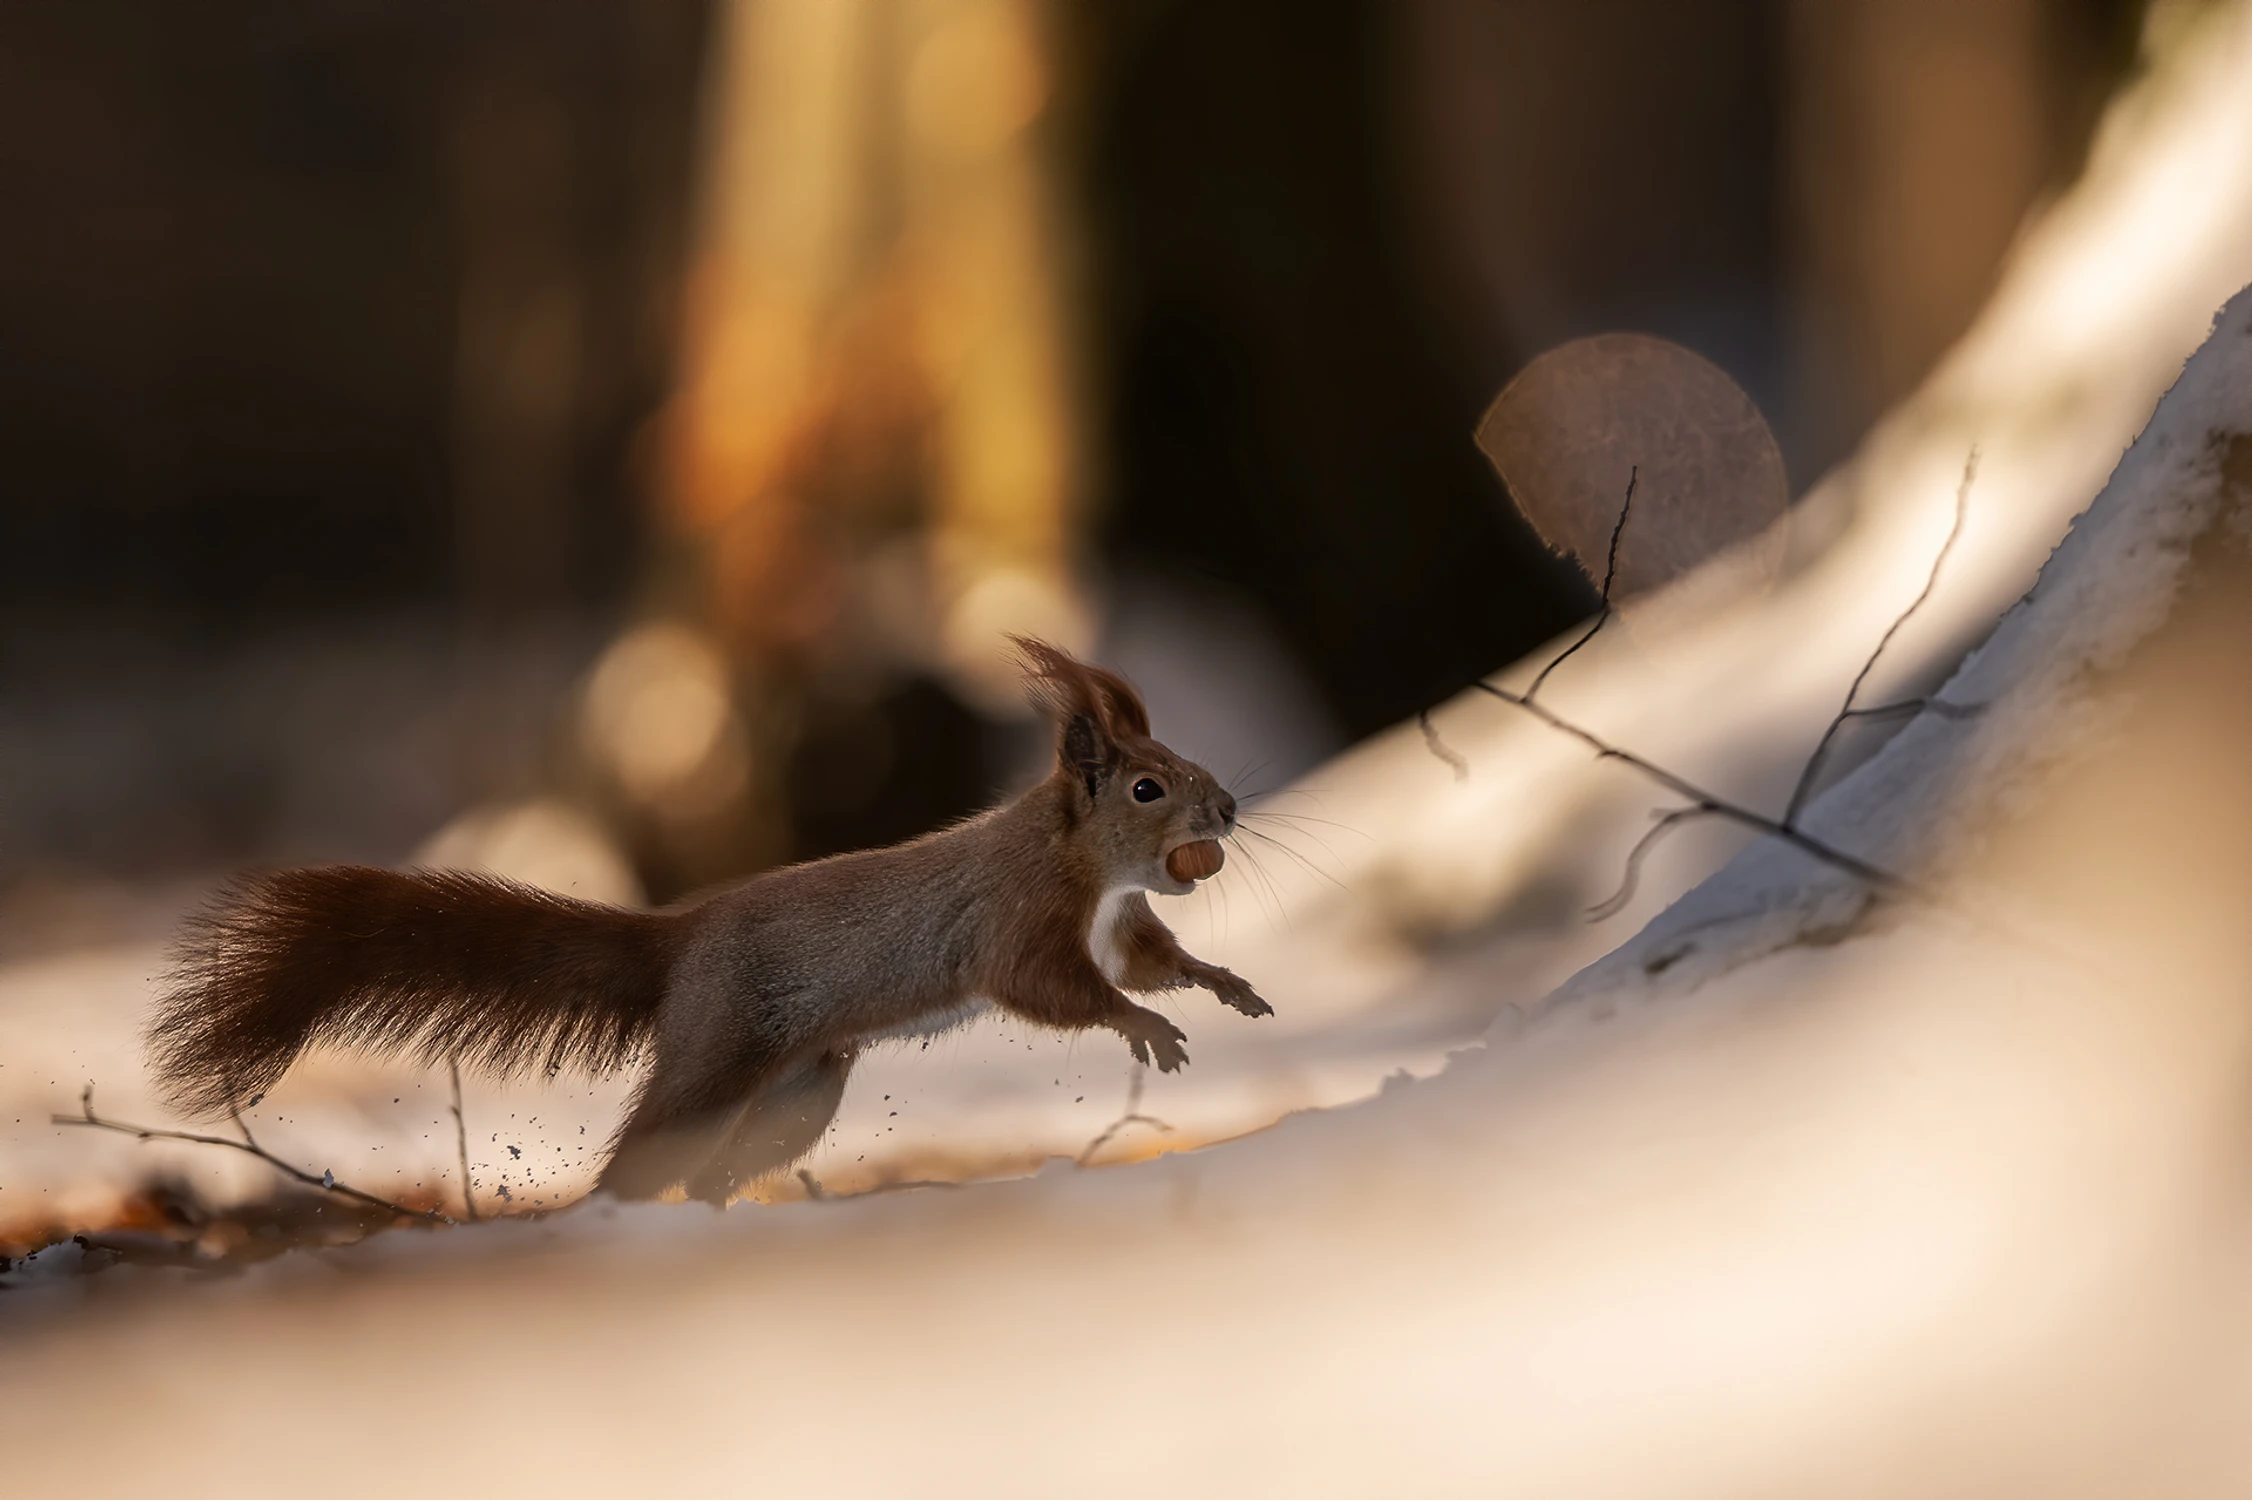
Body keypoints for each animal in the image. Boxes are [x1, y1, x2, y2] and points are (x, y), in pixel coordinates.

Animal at [145, 635, 1270, 1198]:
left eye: (1180, 767)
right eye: (1146, 788)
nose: (1225, 809)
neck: (1082, 863)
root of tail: (678, 941)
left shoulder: (1117, 923)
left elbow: (1152, 960)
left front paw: (1224, 987)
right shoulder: (1018, 918)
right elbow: (1053, 991)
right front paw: (1147, 1028)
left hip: (798, 1092)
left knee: (712, 1172)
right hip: (720, 1051)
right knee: (649, 1156)